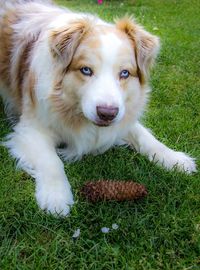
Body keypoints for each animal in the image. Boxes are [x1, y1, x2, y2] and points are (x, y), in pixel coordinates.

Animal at [0, 0, 196, 215]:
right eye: (86, 70)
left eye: (125, 73)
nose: (107, 114)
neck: (71, 106)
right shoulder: (29, 129)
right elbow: (51, 160)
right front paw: (56, 196)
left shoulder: (122, 115)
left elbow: (145, 137)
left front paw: (175, 159)